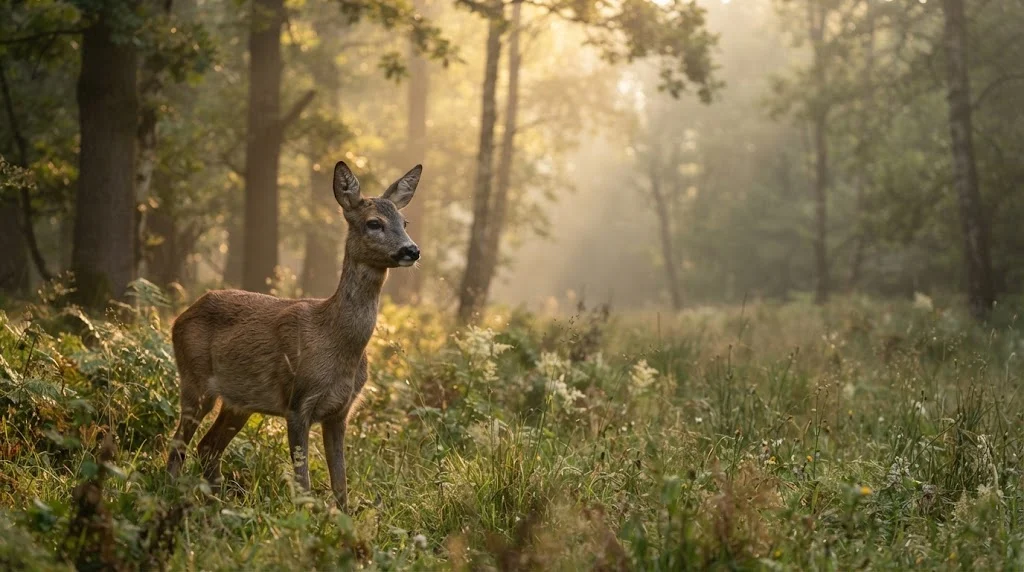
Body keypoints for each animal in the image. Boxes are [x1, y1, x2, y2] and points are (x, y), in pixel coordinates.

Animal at [166, 160, 422, 511]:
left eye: (404, 221)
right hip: (194, 380)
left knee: (207, 447)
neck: (336, 341)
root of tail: (179, 318)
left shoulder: (341, 412)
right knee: (178, 445)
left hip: (239, 403)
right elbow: (303, 484)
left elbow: (341, 485)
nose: (412, 249)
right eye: (374, 223)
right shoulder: (298, 402)